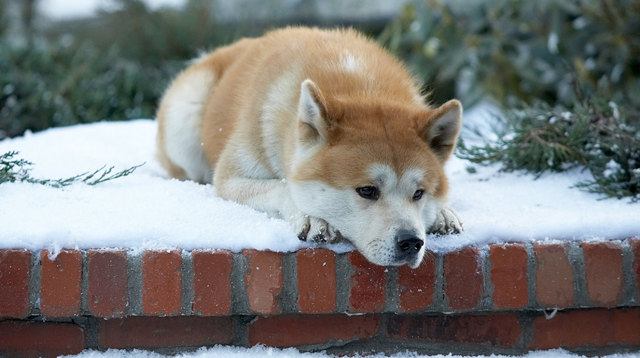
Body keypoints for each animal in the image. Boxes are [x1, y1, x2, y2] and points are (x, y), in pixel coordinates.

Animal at [156, 28, 464, 268]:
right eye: (367, 191)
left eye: (419, 193)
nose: (411, 242)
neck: (360, 87)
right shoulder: (230, 179)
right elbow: (282, 187)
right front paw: (311, 217)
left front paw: (443, 213)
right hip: (185, 117)